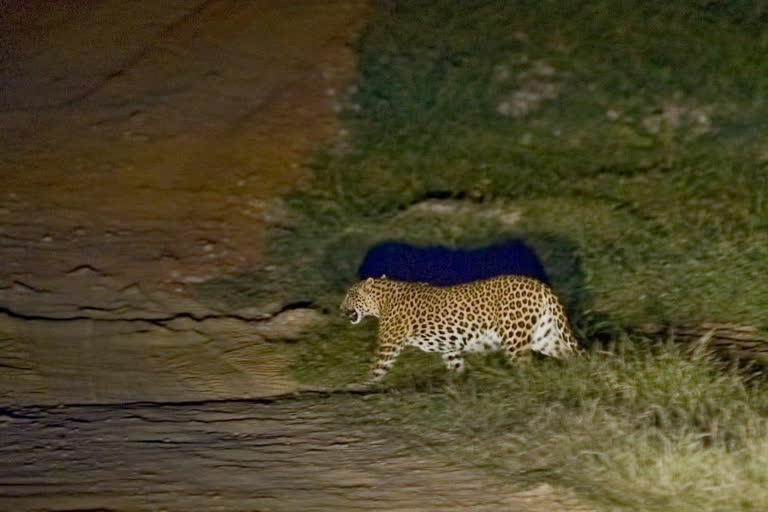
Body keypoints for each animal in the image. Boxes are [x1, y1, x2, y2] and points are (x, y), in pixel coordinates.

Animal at [340, 276, 580, 384]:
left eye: (350, 295)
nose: (340, 308)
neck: (381, 301)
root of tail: (541, 286)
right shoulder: (450, 349)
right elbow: (456, 367)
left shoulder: (388, 345)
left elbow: (375, 369)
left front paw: (357, 387)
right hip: (543, 335)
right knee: (567, 353)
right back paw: (571, 374)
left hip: (515, 339)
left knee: (525, 365)